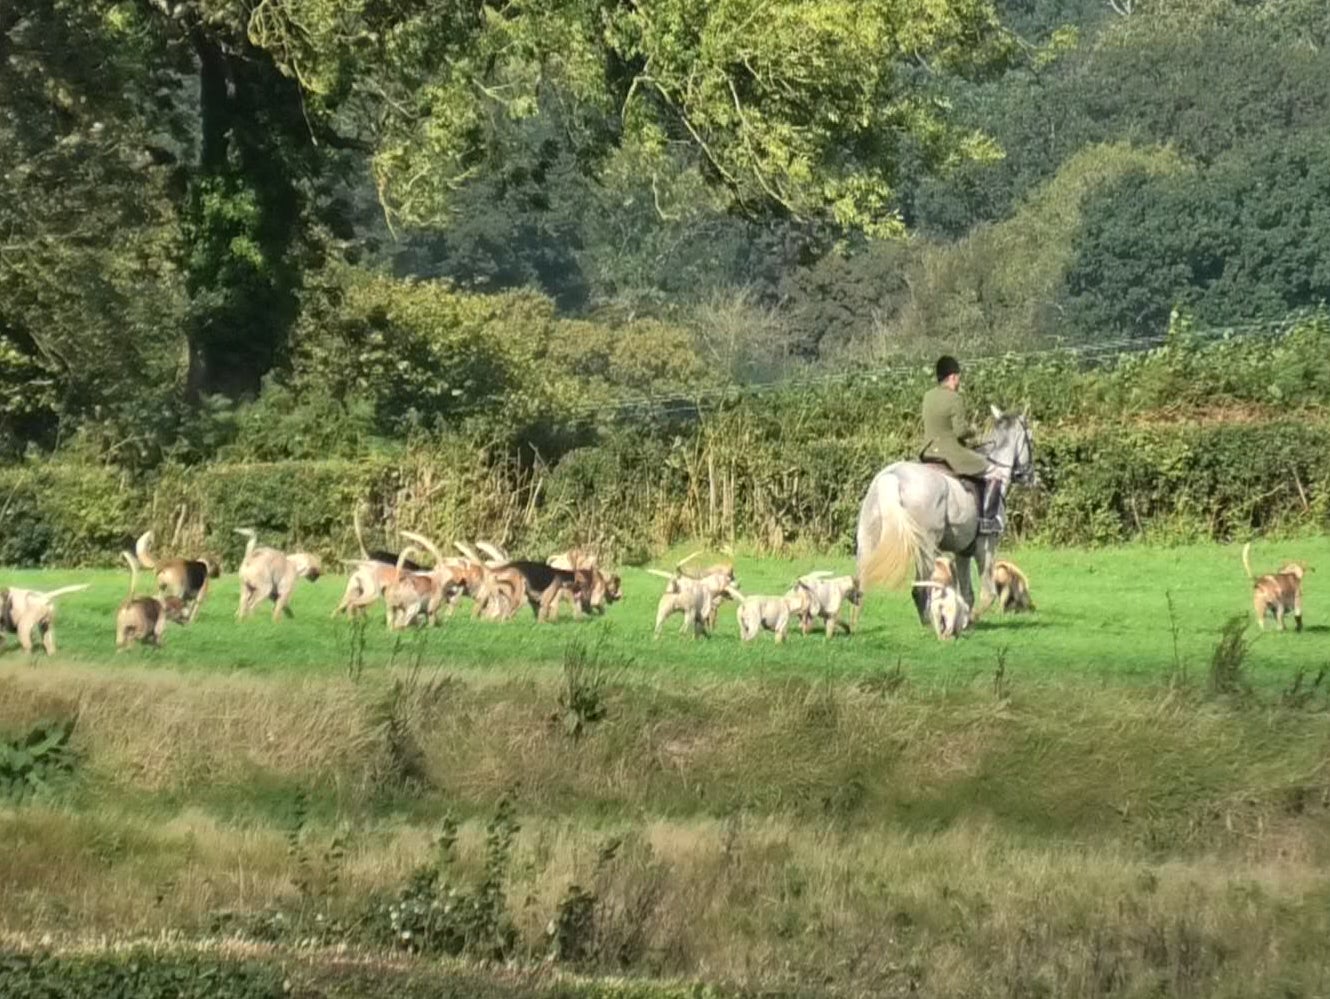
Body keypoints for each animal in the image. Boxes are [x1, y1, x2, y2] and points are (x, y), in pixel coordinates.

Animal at [856, 407, 1032, 625]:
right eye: (1030, 438)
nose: (1028, 476)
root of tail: (892, 476)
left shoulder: (962, 551)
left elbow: (968, 593)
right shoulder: (986, 546)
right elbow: (987, 594)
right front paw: (969, 620)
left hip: (868, 540)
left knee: (859, 586)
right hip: (926, 546)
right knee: (920, 589)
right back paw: (931, 623)